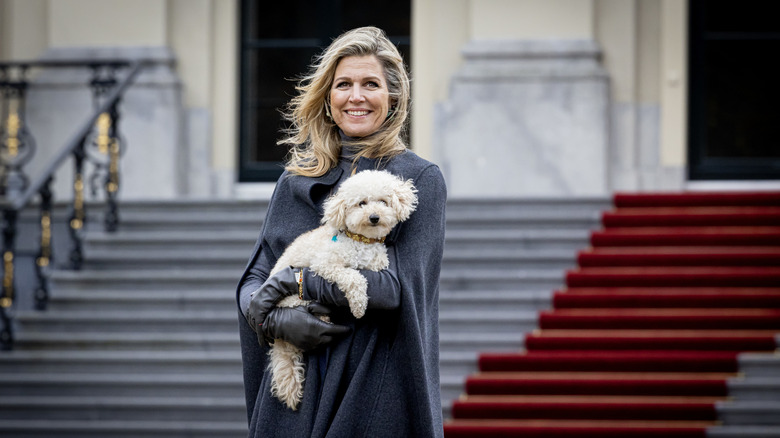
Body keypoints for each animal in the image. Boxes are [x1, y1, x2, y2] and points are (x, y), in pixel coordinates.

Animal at [266, 169, 418, 410]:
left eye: (383, 202)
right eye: (361, 203)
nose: (374, 217)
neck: (361, 240)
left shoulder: (377, 265)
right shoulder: (325, 264)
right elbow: (354, 278)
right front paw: (358, 306)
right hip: (295, 302)